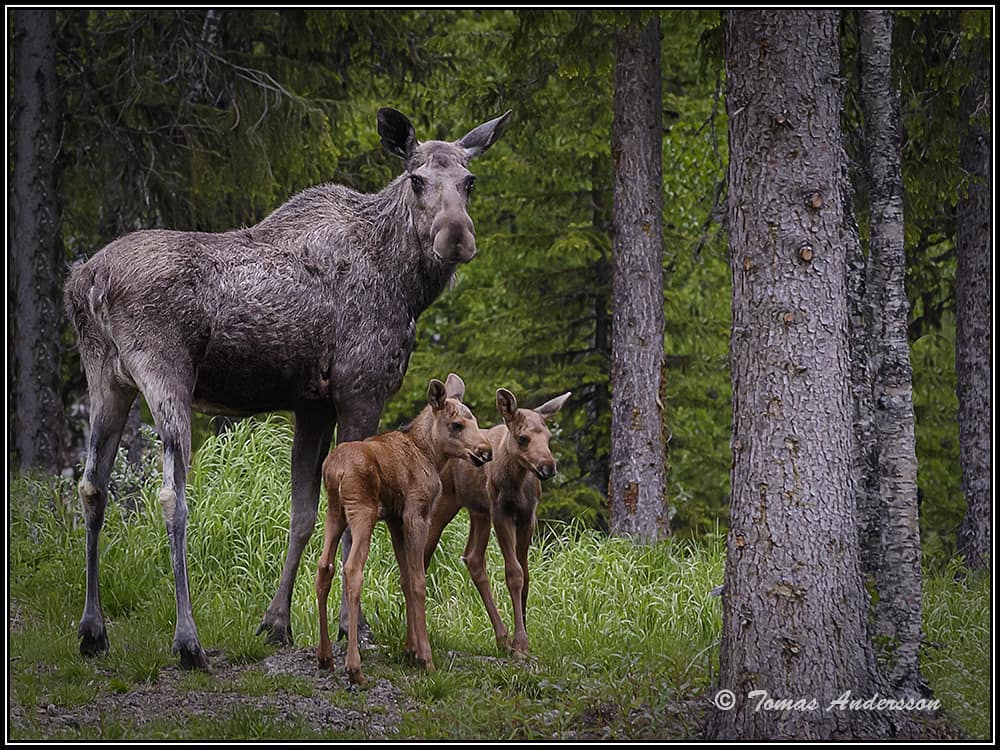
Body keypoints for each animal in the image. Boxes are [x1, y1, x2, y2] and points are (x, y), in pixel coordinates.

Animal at [316, 376, 492, 688]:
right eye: (456, 425)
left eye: (474, 420)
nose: (486, 451)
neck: (431, 453)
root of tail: (335, 471)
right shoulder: (415, 513)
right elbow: (419, 580)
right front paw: (426, 657)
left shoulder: (395, 520)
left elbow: (405, 579)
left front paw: (410, 649)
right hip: (362, 511)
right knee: (352, 569)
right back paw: (354, 667)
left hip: (334, 513)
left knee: (324, 566)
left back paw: (325, 656)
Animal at [422, 388, 572, 656]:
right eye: (523, 438)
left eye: (548, 437)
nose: (548, 467)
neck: (517, 483)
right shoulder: (501, 513)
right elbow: (514, 573)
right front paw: (520, 643)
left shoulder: (527, 517)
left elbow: (526, 575)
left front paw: (522, 638)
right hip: (447, 502)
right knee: (426, 553)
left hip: (479, 511)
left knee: (473, 558)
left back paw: (502, 637)